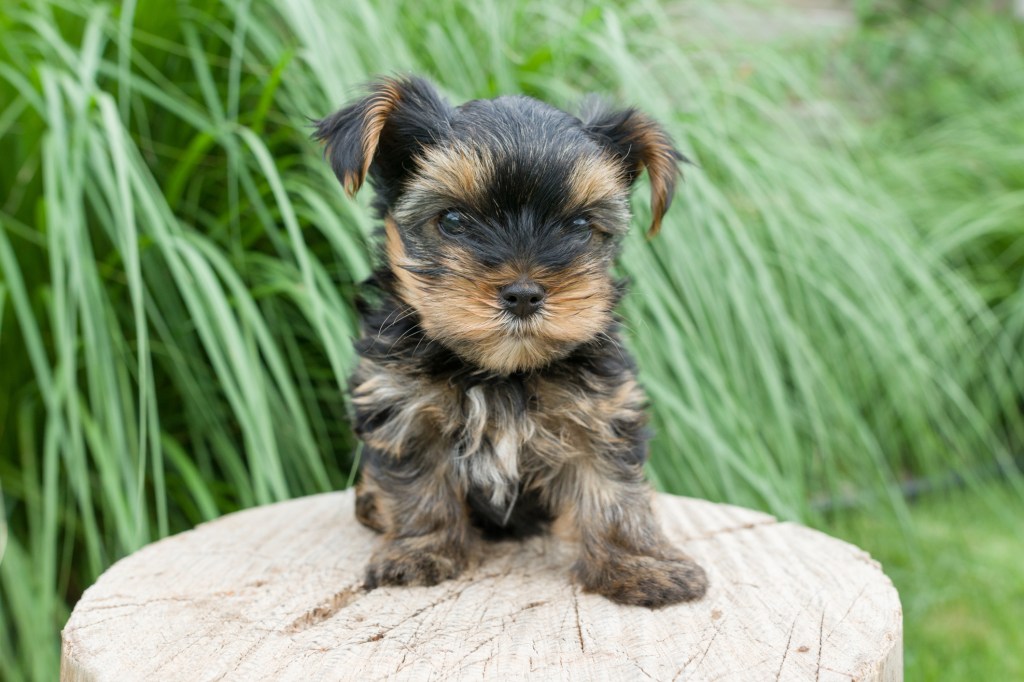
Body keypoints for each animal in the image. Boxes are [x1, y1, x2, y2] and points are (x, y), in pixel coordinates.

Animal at [315, 74, 708, 606]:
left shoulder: (602, 411)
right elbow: (419, 485)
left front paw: (640, 563)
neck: (501, 372)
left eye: (579, 225)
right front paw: (422, 550)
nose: (523, 294)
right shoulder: (401, 404)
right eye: (453, 220)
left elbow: (613, 488)